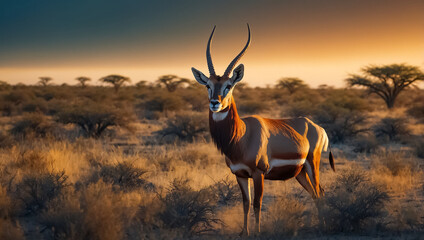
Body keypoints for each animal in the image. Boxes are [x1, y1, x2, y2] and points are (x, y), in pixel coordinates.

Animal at [191, 24, 334, 236]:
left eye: (228, 85)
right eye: (208, 85)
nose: (215, 103)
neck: (242, 136)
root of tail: (317, 127)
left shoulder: (259, 173)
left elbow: (257, 203)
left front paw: (257, 232)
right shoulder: (240, 175)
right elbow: (246, 202)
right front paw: (244, 232)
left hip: (312, 164)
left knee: (318, 192)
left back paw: (324, 228)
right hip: (300, 172)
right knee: (318, 192)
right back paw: (321, 226)